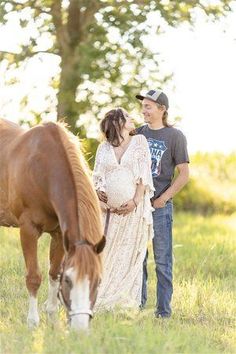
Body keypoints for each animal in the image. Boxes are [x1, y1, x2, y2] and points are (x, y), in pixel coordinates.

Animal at [0, 119, 105, 332]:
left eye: (97, 281)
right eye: (69, 280)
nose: (80, 329)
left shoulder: (59, 234)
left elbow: (53, 274)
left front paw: (53, 320)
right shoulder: (28, 229)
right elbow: (34, 277)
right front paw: (33, 323)